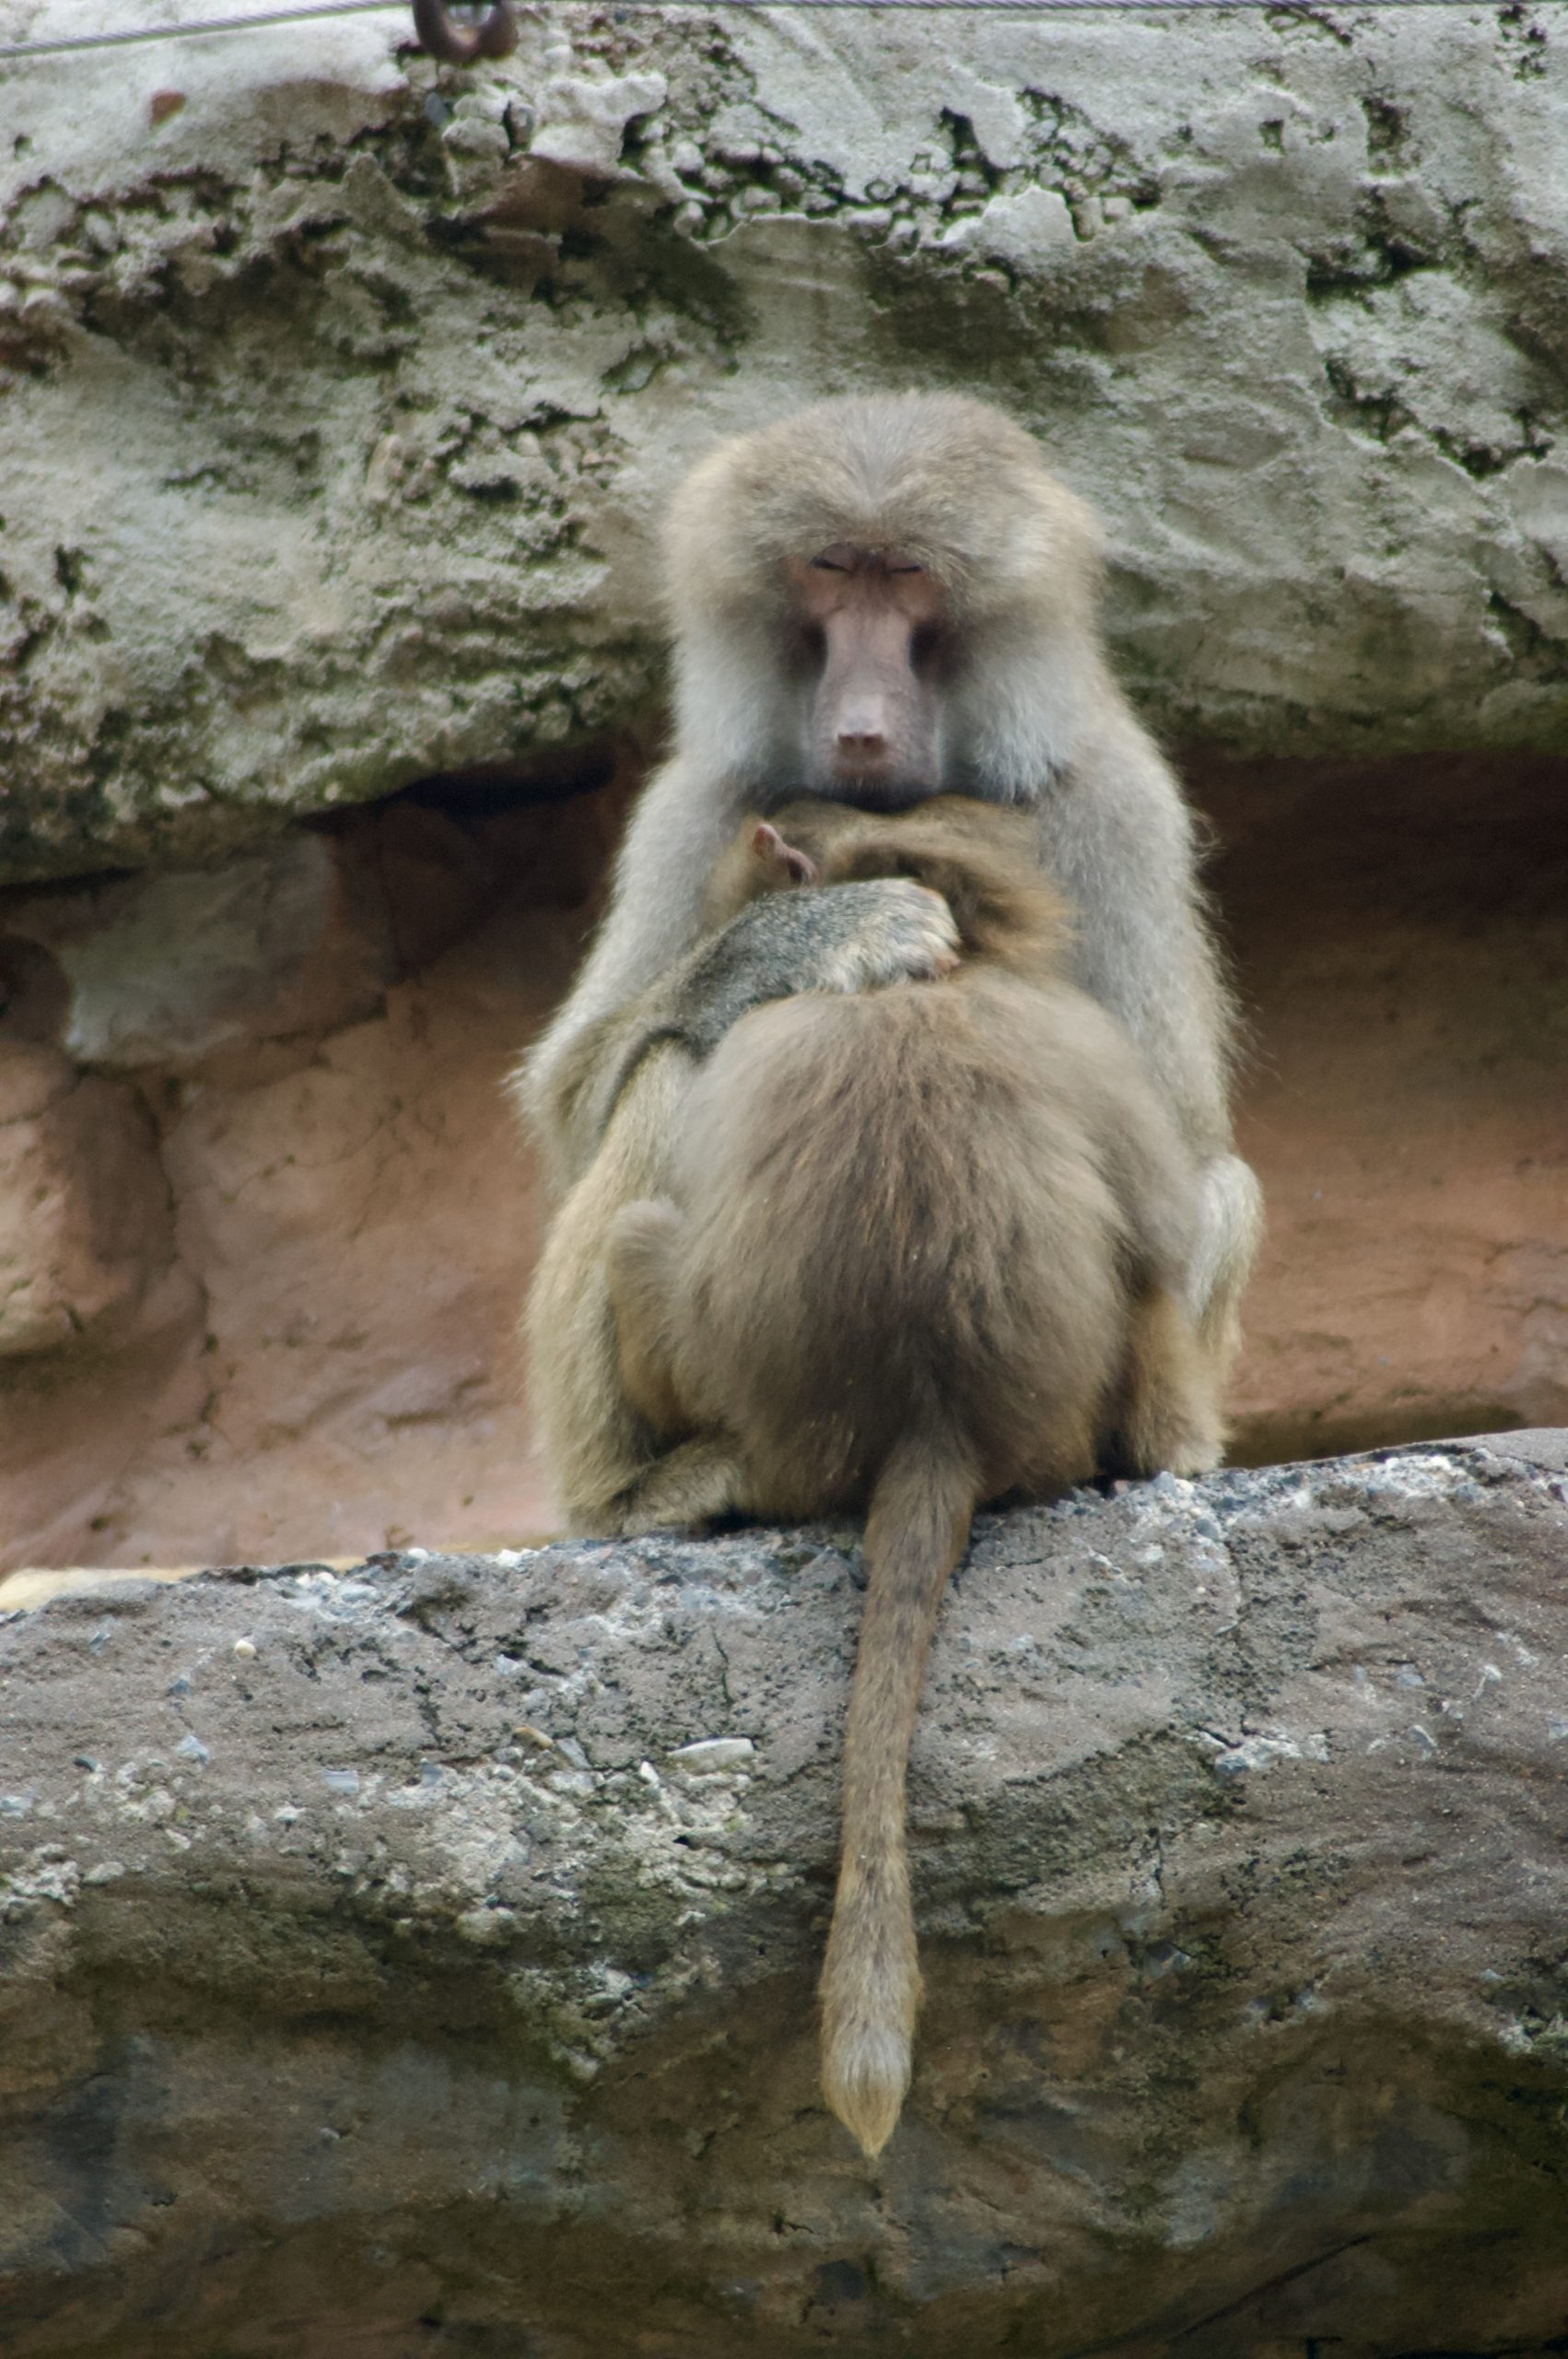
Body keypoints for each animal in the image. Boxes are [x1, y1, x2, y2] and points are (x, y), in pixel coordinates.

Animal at [515, 392, 1261, 1531]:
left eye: (906, 573)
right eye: (831, 566)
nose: (860, 724)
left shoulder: (1120, 802)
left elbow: (1186, 1155)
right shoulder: (693, 804)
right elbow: (570, 1109)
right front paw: (815, 934)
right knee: (667, 1064)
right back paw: (645, 1491)